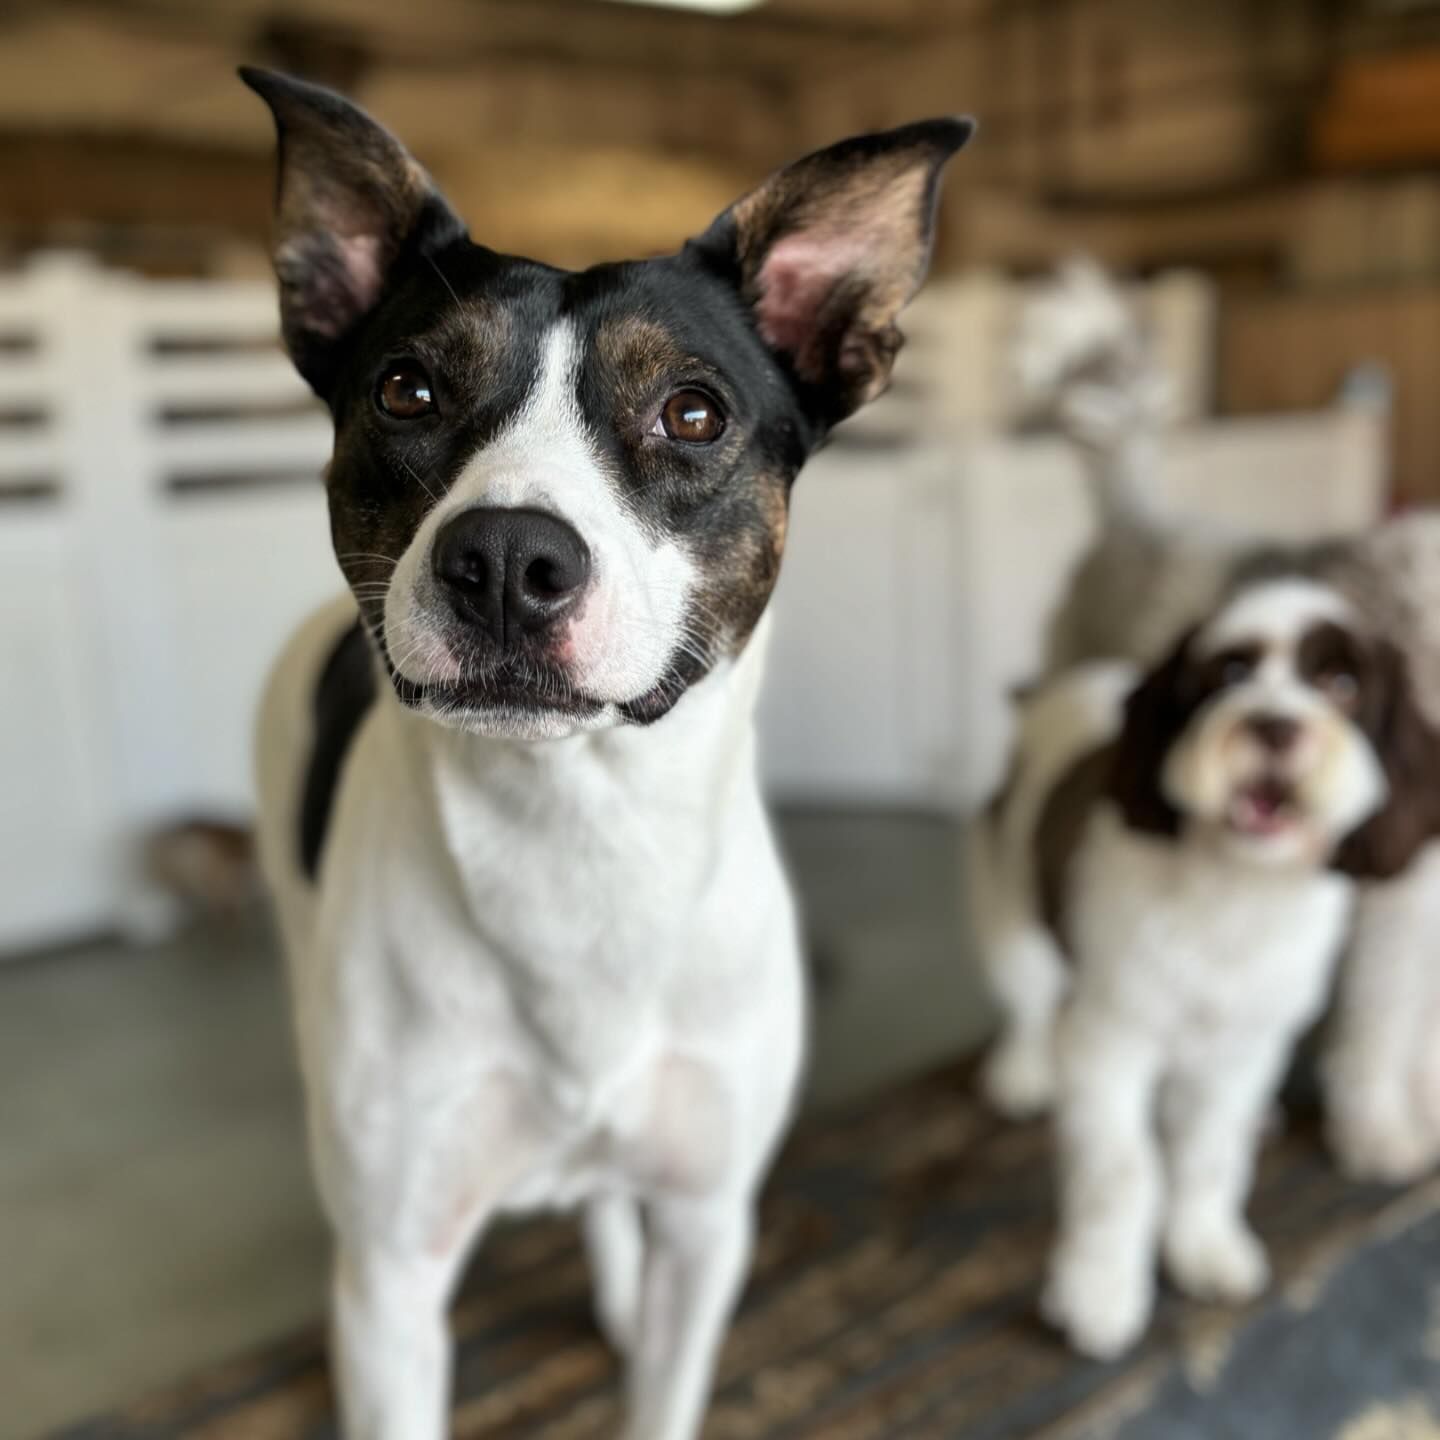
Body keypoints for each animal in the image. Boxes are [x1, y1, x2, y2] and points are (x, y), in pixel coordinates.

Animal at [241, 64, 973, 1440]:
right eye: (407, 391)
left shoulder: (706, 1223)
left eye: (692, 412)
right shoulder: (393, 1279)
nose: (503, 561)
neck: (575, 836)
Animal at [973, 573, 1434, 1359]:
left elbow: (1210, 1155)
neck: (1236, 892)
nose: (1275, 726)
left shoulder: (1243, 1050)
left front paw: (1204, 1248)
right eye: (1231, 674)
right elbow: (1122, 1174)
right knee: (1027, 991)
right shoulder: (1110, 1041)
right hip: (1002, 889)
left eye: (1340, 683)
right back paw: (1025, 1064)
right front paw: (1100, 1292)